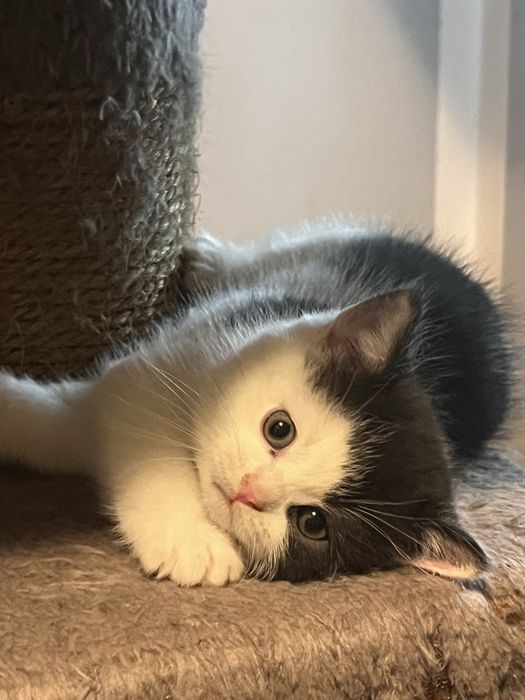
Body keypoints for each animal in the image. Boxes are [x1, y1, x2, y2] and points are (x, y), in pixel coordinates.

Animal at [0, 222, 513, 586]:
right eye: (279, 428)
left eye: (312, 523)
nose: (250, 492)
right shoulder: (173, 353)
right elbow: (117, 423)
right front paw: (191, 539)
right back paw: (209, 256)